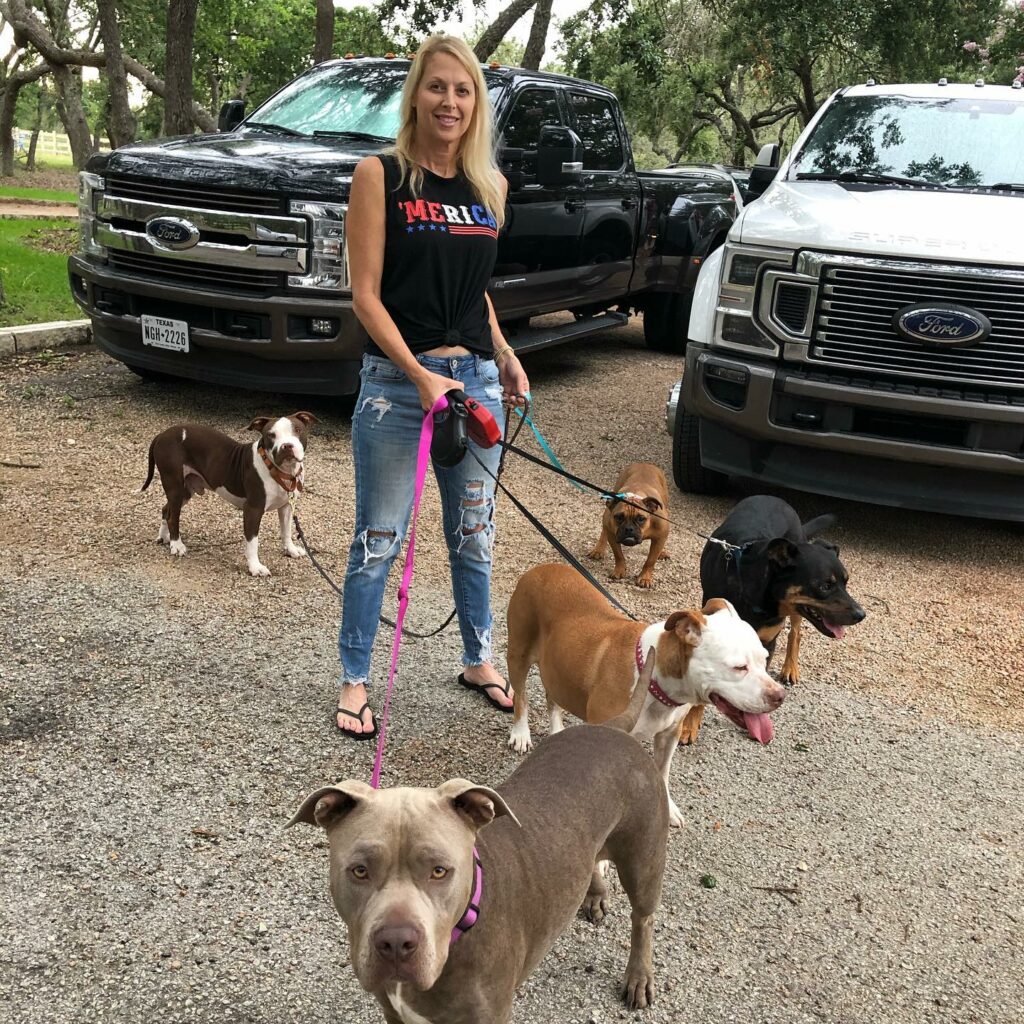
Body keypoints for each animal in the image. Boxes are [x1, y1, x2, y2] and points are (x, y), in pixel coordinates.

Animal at [141, 411, 315, 581]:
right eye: (271, 435)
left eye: (297, 430)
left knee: (166, 509)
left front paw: (290, 550)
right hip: (174, 485)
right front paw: (255, 567)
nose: (287, 446)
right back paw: (177, 545)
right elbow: (253, 542)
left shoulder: (286, 506)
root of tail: (162, 434)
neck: (280, 470)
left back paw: (165, 537)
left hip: (186, 489)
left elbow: (286, 531)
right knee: (173, 516)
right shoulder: (253, 510)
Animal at [288, 651, 671, 1019]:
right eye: (359, 870)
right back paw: (593, 894)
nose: (396, 943)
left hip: (644, 861)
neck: (464, 924)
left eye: (439, 871)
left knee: (644, 918)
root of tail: (613, 728)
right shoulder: (393, 1012)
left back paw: (638, 977)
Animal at [507, 565, 786, 827]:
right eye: (739, 667)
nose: (780, 695)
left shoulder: (669, 734)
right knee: (520, 696)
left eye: (765, 659)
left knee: (552, 697)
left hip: (556, 666)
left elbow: (663, 772)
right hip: (518, 656)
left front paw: (667, 810)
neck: (654, 679)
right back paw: (521, 734)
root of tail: (541, 568)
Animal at [589, 460, 667, 589]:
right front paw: (619, 571)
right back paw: (598, 550)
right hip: (607, 516)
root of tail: (644, 463)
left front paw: (645, 578)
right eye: (619, 517)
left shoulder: (661, 536)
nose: (629, 529)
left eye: (641, 519)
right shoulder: (613, 535)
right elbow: (618, 555)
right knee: (604, 531)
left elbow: (650, 561)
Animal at [700, 493, 860, 692]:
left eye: (846, 582)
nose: (861, 615)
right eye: (825, 586)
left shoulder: (766, 644)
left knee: (795, 633)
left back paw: (790, 668)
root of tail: (773, 497)